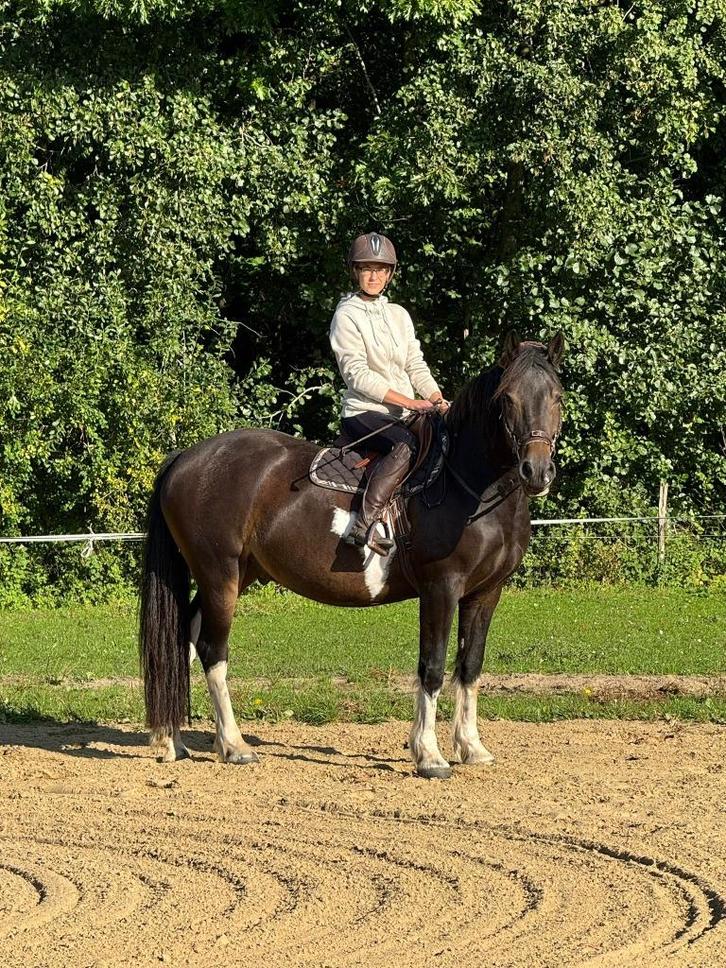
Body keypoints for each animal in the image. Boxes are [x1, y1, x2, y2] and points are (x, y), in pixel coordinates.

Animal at [139, 331, 564, 779]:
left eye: (557, 396)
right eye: (507, 399)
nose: (536, 471)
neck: (467, 486)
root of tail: (186, 458)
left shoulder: (485, 593)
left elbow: (470, 665)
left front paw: (471, 747)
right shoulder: (441, 588)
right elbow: (431, 667)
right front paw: (429, 755)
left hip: (236, 574)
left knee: (181, 642)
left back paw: (171, 741)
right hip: (219, 575)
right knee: (211, 651)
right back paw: (234, 746)